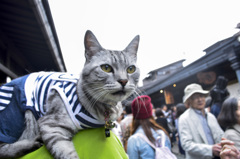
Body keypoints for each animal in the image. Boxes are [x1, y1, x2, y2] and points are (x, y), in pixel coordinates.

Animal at [0, 30, 140, 158]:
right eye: (106, 68)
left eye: (131, 69)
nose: (123, 81)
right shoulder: (51, 125)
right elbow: (68, 155)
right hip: (14, 115)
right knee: (4, 148)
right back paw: (31, 143)